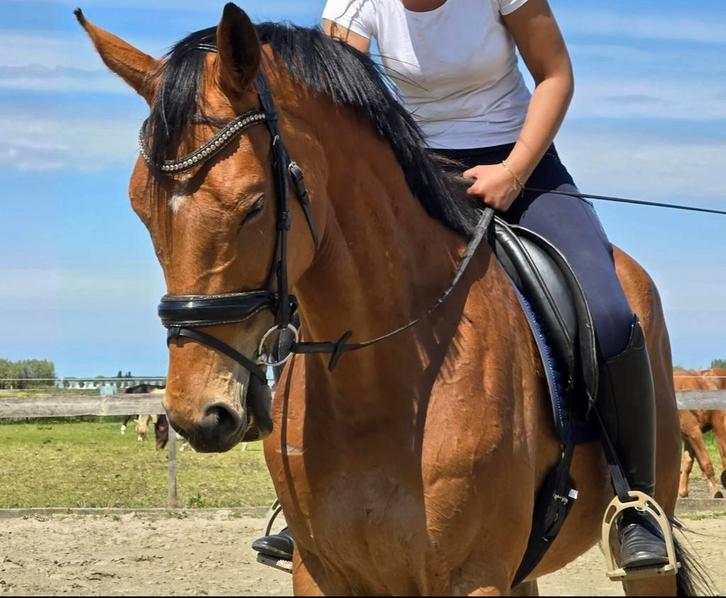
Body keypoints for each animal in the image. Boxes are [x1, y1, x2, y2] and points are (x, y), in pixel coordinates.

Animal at [675, 369, 726, 498]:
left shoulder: (690, 433)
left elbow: (690, 463)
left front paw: (683, 492)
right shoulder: (692, 432)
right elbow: (702, 462)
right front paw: (716, 493)